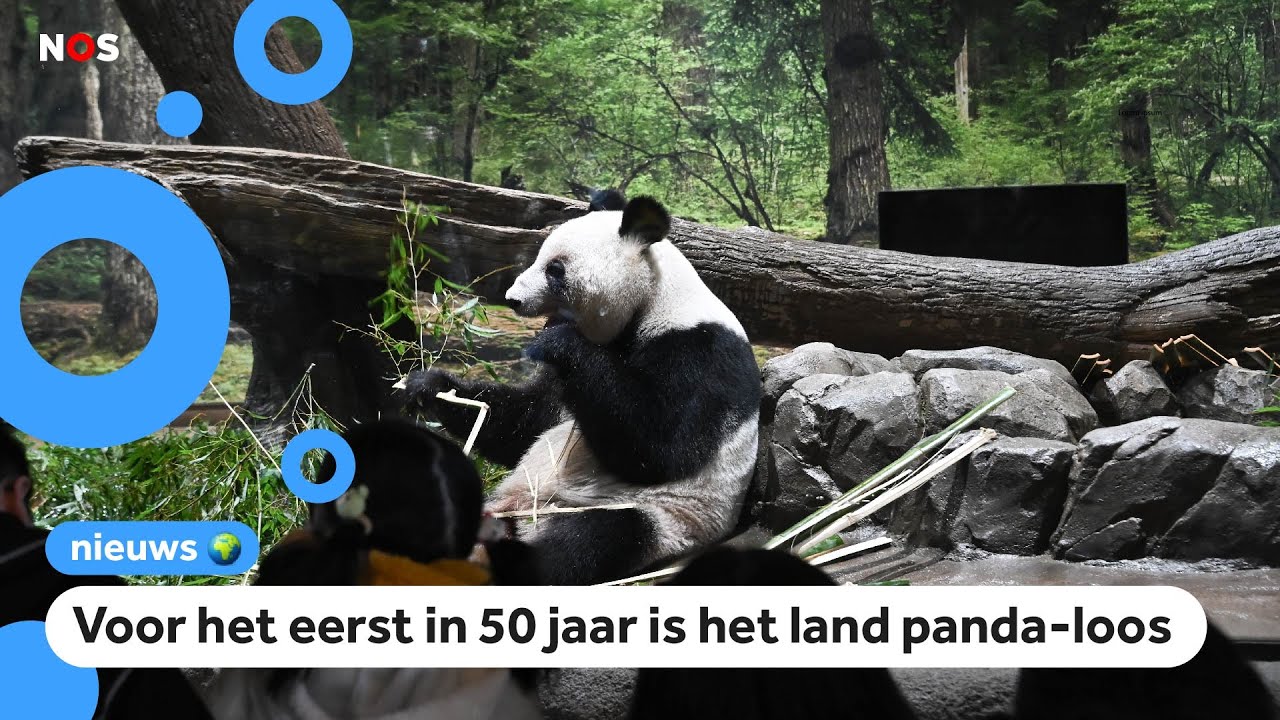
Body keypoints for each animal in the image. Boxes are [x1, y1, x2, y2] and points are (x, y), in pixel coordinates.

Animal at [402, 193, 761, 585]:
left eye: (555, 269)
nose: (513, 299)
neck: (653, 300)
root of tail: (520, 518)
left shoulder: (701, 350)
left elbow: (663, 449)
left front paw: (555, 340)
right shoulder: (569, 384)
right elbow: (528, 422)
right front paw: (428, 386)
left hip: (660, 518)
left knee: (588, 542)